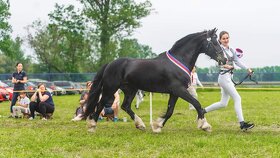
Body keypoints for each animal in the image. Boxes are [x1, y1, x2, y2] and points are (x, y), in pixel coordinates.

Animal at [85, 28, 225, 132]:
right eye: (215, 42)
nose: (224, 59)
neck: (179, 60)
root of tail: (109, 64)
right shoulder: (179, 90)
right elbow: (197, 104)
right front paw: (205, 125)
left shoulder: (174, 93)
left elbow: (170, 111)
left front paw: (157, 126)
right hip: (110, 88)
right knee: (100, 104)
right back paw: (92, 126)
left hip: (130, 90)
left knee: (125, 106)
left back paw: (140, 125)